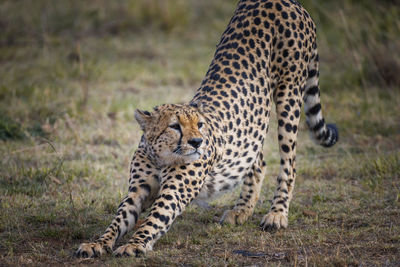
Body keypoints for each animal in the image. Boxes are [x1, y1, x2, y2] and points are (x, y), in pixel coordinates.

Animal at [75, 0, 338, 260]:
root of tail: (286, 2)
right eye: (175, 126)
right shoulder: (139, 189)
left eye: (199, 125)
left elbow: (154, 218)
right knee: (258, 159)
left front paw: (135, 244)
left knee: (289, 161)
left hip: (289, 94)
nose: (197, 142)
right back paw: (241, 210)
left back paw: (277, 214)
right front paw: (98, 243)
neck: (161, 156)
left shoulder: (174, 191)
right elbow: (119, 218)